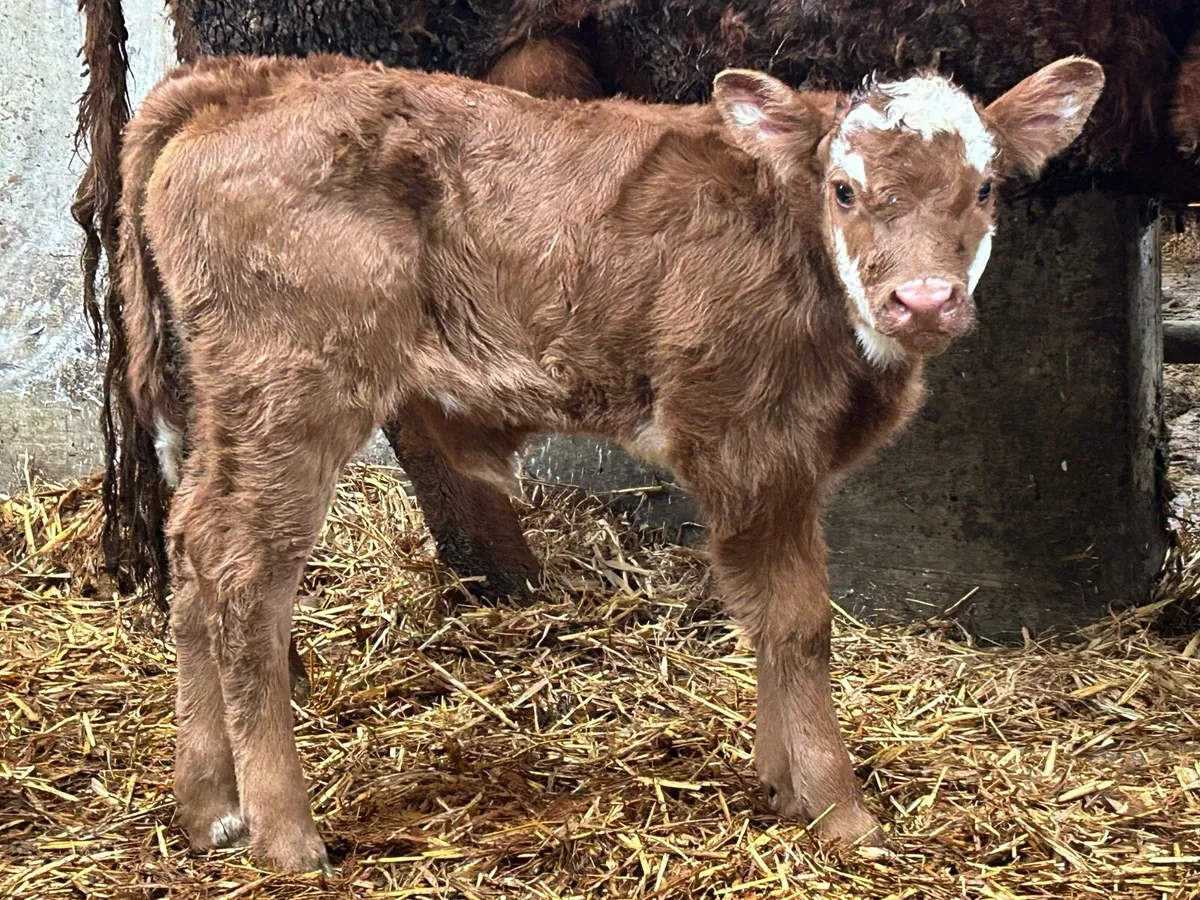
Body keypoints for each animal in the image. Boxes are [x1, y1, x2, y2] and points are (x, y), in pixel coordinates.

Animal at [116, 51, 1103, 872]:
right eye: (845, 189)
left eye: (984, 188)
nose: (924, 301)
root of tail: (247, 79)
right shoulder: (746, 441)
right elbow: (795, 622)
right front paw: (838, 811)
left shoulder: (786, 464)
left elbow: (764, 619)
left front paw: (780, 783)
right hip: (295, 389)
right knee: (247, 575)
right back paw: (286, 834)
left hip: (225, 402)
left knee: (194, 548)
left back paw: (208, 807)